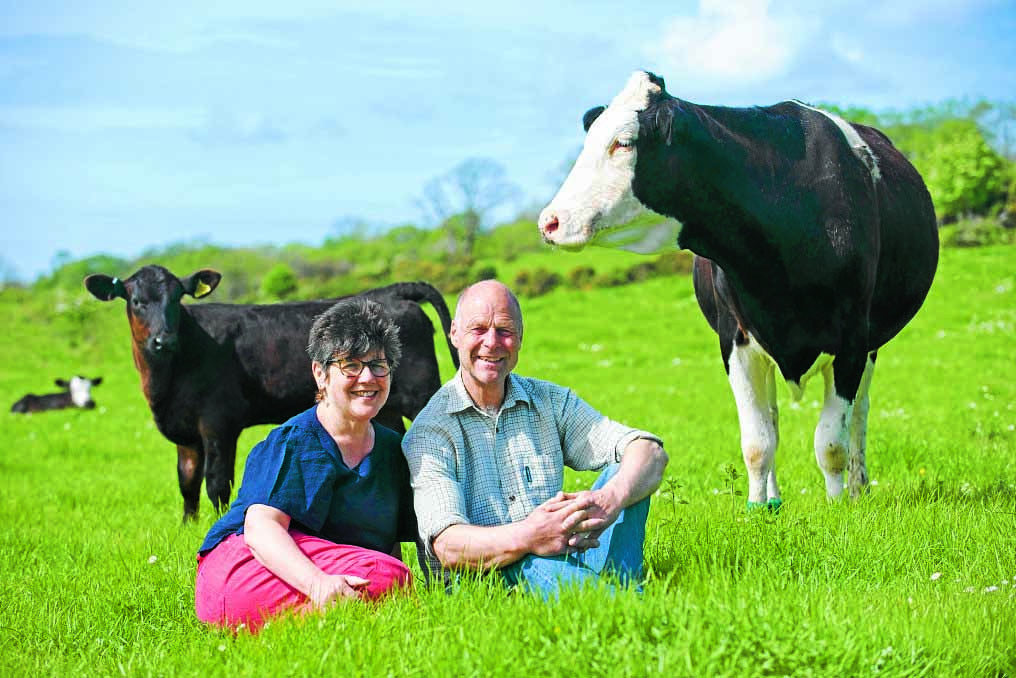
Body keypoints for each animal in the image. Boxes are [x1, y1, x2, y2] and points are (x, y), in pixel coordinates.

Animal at [85, 264, 459, 520]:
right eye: (137, 301)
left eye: (178, 299)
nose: (163, 340)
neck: (165, 384)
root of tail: (389, 293)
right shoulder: (185, 432)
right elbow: (187, 483)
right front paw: (187, 526)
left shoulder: (219, 422)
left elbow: (217, 483)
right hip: (386, 407)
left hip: (420, 392)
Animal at [536, 71, 938, 508]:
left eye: (622, 142)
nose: (549, 221)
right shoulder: (735, 338)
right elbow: (758, 441)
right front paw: (758, 507)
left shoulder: (851, 340)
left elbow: (831, 441)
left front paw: (837, 507)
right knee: (773, 418)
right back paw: (776, 498)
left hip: (871, 343)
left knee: (859, 417)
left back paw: (857, 488)